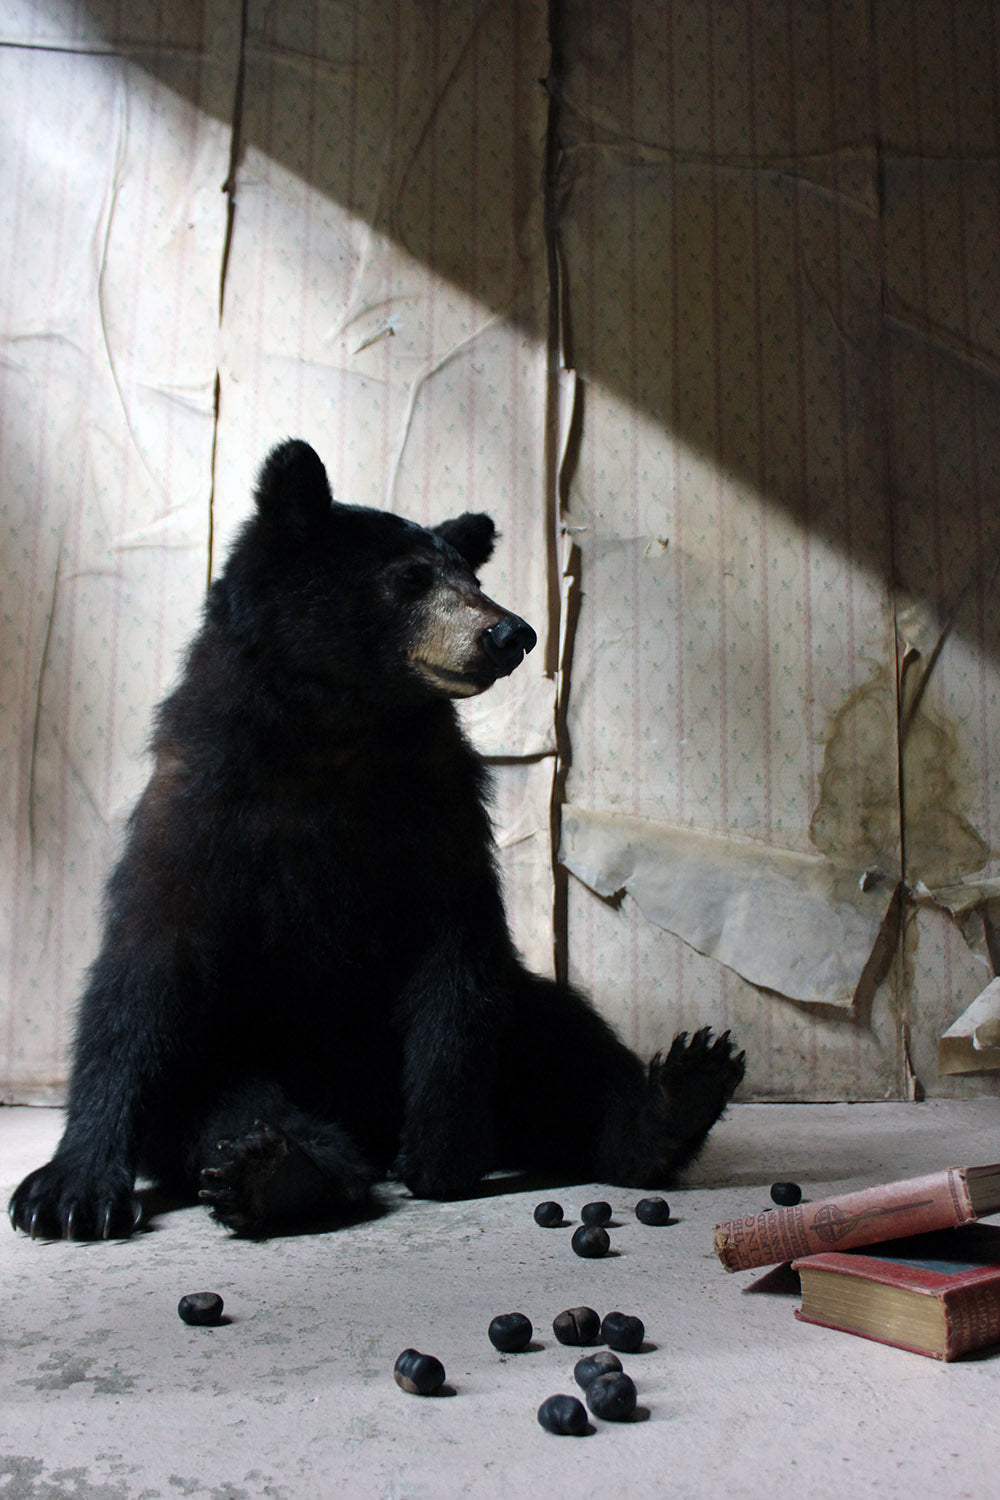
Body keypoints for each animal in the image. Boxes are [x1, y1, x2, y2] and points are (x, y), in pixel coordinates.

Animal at [9, 438, 744, 1241]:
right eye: (410, 579)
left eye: (471, 577)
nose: (512, 633)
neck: (338, 729)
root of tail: (364, 1119)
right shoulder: (201, 804)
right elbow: (142, 970)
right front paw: (69, 1190)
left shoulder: (439, 808)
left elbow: (458, 952)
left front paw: (442, 1153)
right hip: (237, 1046)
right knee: (220, 1101)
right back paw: (282, 1169)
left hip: (510, 1024)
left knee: (559, 1033)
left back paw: (673, 1101)